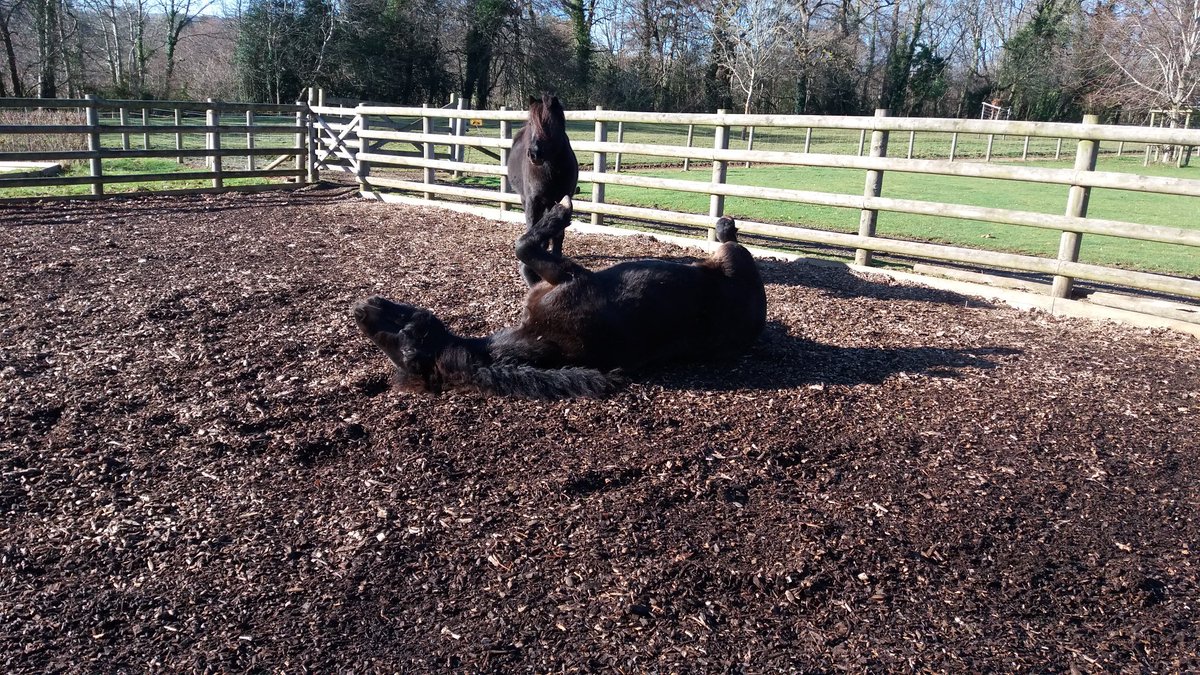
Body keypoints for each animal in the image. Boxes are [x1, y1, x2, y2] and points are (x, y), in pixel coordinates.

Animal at [352, 196, 767, 400]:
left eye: (402, 331)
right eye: (406, 341)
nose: (360, 310)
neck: (532, 339)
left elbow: (524, 251)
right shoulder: (566, 275)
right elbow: (523, 245)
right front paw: (558, 212)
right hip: (734, 258)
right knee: (728, 241)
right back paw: (724, 224)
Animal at [507, 93, 579, 286]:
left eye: (550, 123)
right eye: (532, 123)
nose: (534, 153)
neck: (551, 168)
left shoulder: (563, 197)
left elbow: (559, 234)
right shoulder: (533, 201)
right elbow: (532, 225)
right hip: (528, 200)